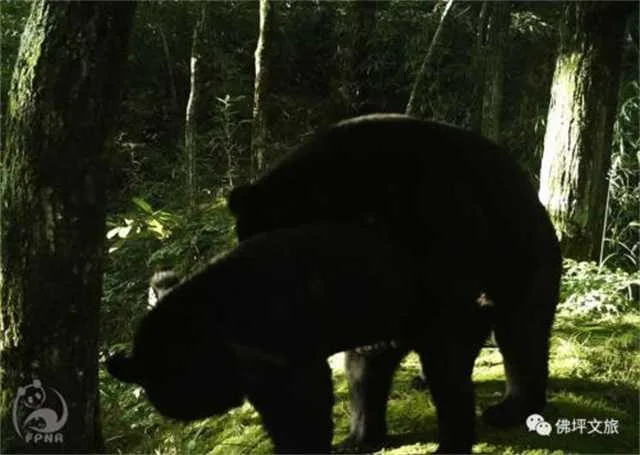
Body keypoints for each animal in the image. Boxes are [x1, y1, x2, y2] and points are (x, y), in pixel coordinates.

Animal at [106, 222, 476, 453]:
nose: (170, 409)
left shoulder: (285, 351)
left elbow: (303, 408)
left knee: (448, 370)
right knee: (368, 372)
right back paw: (361, 438)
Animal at [227, 113, 562, 452]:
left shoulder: (438, 225)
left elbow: (448, 337)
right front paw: (359, 436)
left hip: (523, 259)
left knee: (521, 332)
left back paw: (511, 407)